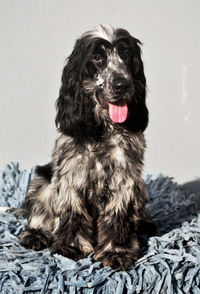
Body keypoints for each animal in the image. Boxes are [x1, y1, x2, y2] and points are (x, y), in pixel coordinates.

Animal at [18, 25, 155, 272]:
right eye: (97, 57)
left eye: (126, 54)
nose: (122, 84)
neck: (103, 130)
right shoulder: (71, 177)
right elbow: (72, 214)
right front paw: (70, 247)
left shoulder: (125, 179)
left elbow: (118, 217)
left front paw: (116, 252)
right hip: (42, 181)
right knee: (38, 213)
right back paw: (35, 236)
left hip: (141, 188)